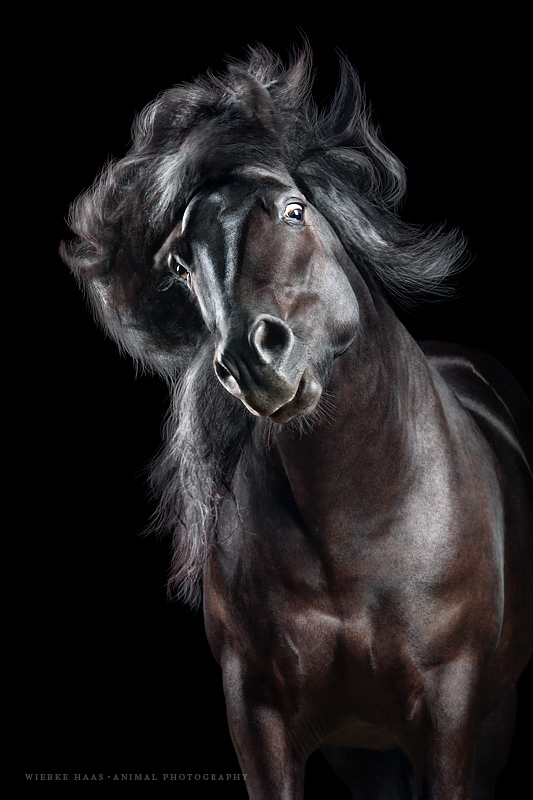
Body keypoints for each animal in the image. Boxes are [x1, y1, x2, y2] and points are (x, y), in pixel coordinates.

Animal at [60, 46, 532, 799]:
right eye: (180, 263)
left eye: (293, 210)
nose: (253, 358)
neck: (354, 528)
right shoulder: (259, 717)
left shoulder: (451, 713)